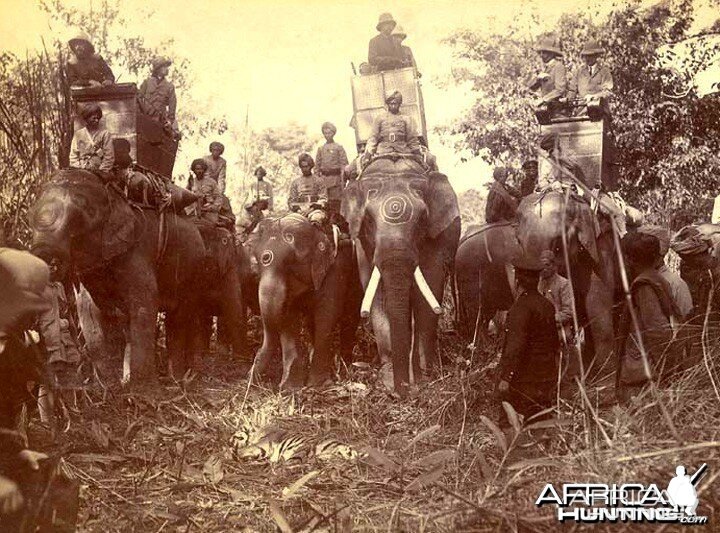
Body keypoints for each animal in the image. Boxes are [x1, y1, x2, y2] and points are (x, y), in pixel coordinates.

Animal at [28, 168, 219, 380]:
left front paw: (138, 387)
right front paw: (107, 381)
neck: (114, 194)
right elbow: (88, 307)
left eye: (77, 223)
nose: (51, 265)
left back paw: (181, 378)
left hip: (194, 267)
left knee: (181, 315)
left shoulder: (137, 250)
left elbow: (143, 304)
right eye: (29, 219)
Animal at [250, 213, 360, 390]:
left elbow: (327, 314)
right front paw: (289, 388)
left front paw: (317, 384)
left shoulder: (335, 268)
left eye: (290, 262)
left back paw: (345, 366)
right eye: (259, 262)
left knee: (350, 318)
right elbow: (288, 316)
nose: (251, 380)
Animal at [344, 159, 462, 394]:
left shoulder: (436, 237)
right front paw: (390, 379)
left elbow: (430, 286)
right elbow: (377, 294)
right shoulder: (363, 244)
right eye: (368, 221)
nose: (404, 390)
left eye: (422, 219)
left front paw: (423, 376)